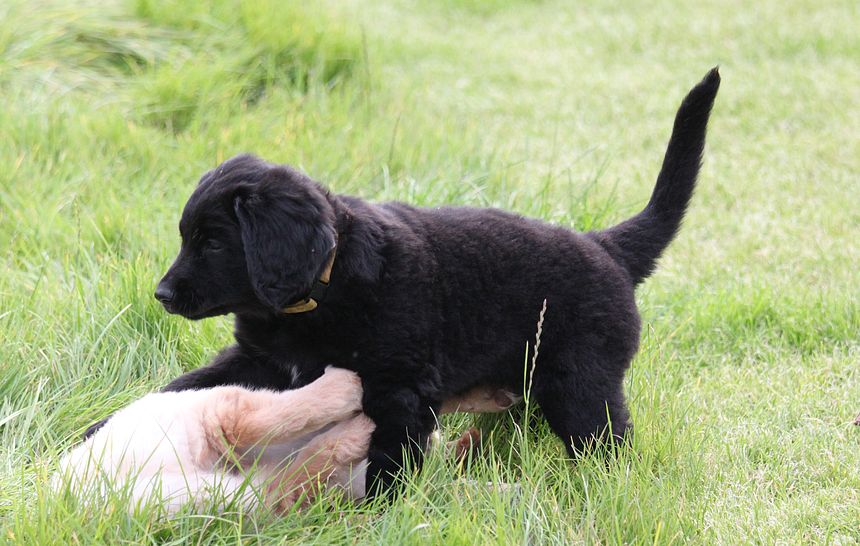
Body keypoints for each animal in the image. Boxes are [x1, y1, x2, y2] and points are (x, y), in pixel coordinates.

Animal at [60, 367, 520, 513]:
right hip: (200, 410)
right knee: (246, 421)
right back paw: (349, 397)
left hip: (247, 495)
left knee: (287, 482)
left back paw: (352, 432)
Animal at [87, 68, 720, 497]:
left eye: (214, 243)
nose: (162, 295)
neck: (321, 289)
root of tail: (606, 246)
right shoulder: (258, 360)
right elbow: (183, 385)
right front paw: (98, 428)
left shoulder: (401, 390)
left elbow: (389, 462)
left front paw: (374, 513)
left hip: (582, 384)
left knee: (607, 443)